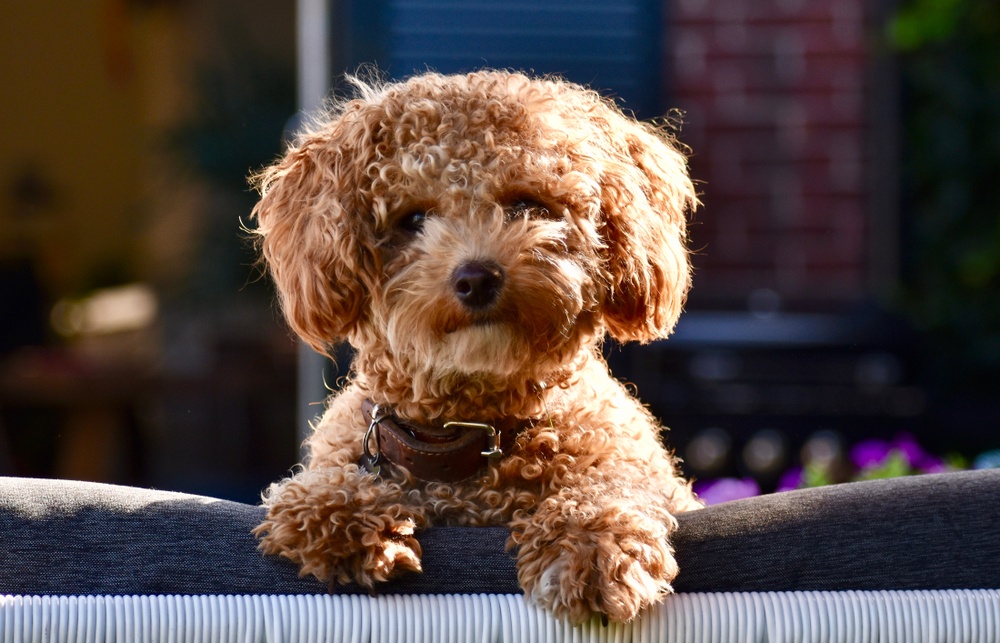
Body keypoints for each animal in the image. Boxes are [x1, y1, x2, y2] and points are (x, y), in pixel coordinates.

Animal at [250, 70, 704, 624]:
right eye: (413, 219)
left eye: (527, 204)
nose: (476, 278)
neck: (468, 437)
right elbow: (324, 488)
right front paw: (337, 510)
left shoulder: (633, 465)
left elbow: (613, 482)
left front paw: (593, 544)